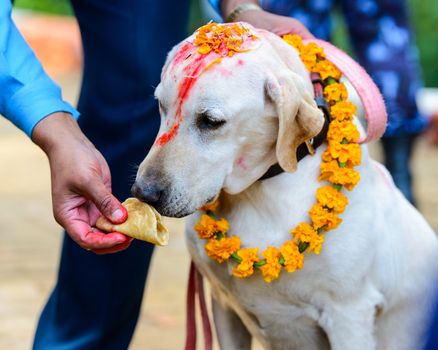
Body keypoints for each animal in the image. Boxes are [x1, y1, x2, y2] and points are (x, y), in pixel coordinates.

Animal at [133, 24, 438, 350]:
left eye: (211, 121)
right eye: (161, 105)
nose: (143, 193)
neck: (258, 191)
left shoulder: (349, 315)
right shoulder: (223, 306)